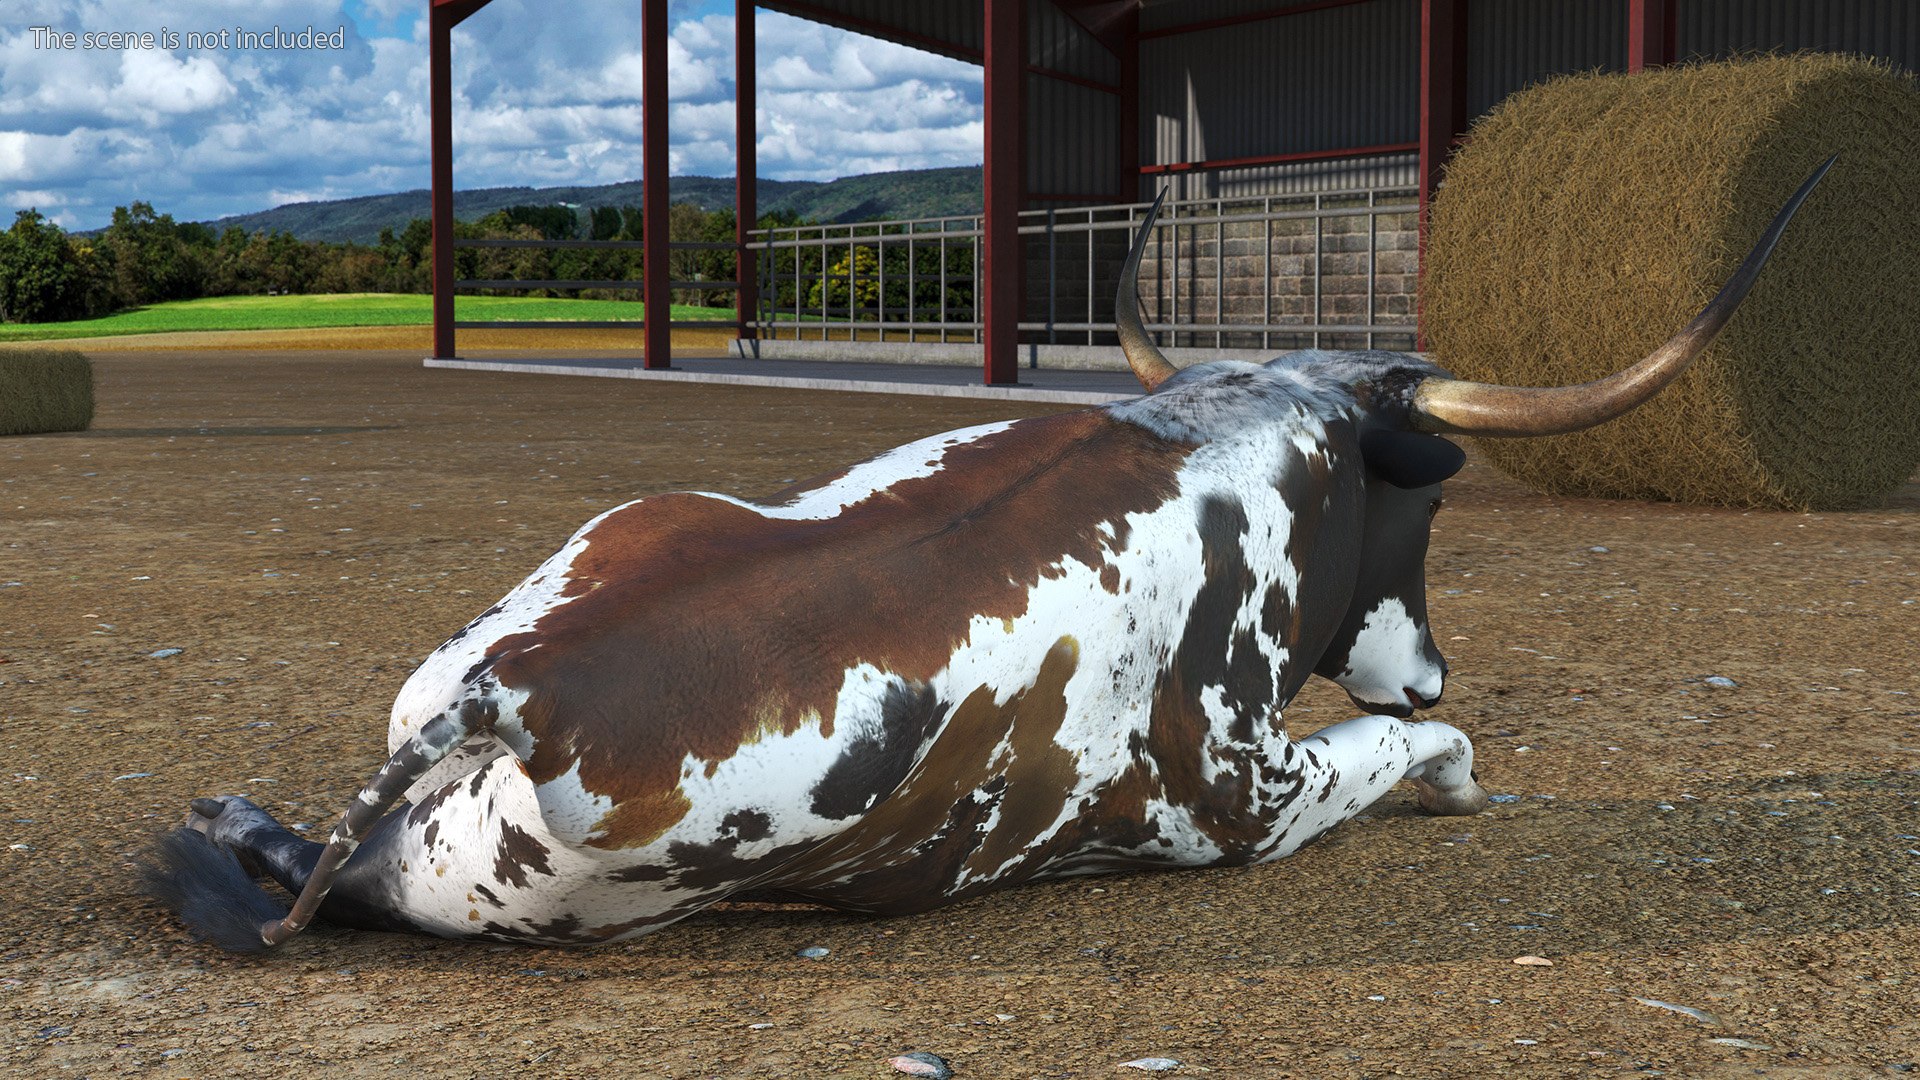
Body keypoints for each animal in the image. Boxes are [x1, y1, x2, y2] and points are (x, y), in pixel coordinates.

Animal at [147, 159, 1831, 952]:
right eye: (1425, 511)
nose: (1424, 667)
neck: (1239, 436)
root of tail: (506, 686)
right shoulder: (1249, 801)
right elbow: (1409, 753)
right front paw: (1462, 766)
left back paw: (212, 820)